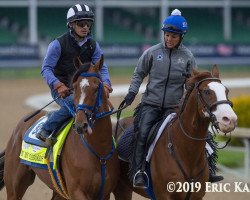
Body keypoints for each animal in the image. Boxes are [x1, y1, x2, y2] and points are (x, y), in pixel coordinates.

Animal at [0, 56, 118, 200]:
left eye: (96, 88)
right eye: (75, 87)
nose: (81, 125)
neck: (99, 152)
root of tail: (19, 127)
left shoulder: (104, 193)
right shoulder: (77, 191)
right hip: (14, 186)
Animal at [113, 65, 236, 199]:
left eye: (226, 91)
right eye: (207, 92)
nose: (230, 120)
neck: (187, 153)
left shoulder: (197, 196)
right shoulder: (164, 196)